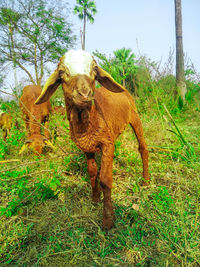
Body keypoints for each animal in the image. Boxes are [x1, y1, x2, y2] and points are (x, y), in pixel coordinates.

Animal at [35, 50, 149, 230]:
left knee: (142, 147)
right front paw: (95, 198)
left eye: (94, 70)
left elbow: (105, 179)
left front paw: (108, 220)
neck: (89, 120)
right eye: (62, 72)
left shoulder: (108, 143)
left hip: (135, 117)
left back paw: (145, 181)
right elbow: (92, 172)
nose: (84, 94)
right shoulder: (86, 147)